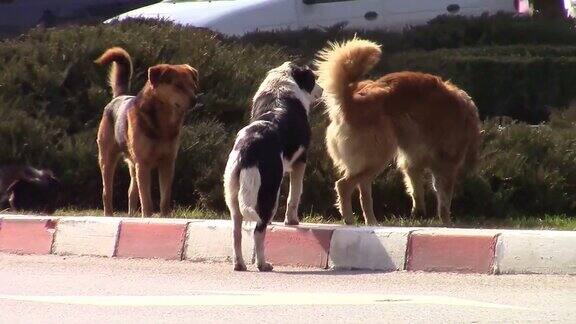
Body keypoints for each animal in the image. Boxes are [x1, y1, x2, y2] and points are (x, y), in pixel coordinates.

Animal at [95, 46, 199, 216]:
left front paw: (164, 217)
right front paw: (148, 216)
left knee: (131, 192)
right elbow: (147, 200)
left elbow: (164, 198)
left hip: (132, 164)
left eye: (193, 85)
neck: (163, 121)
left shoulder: (167, 163)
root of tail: (118, 97)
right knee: (107, 192)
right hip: (107, 159)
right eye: (178, 85)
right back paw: (109, 215)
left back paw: (131, 215)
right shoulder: (143, 164)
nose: (195, 100)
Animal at [224, 61, 324, 270]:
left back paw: (239, 264)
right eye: (313, 79)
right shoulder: (301, 161)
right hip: (269, 191)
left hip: (233, 195)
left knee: (236, 233)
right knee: (258, 231)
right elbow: (295, 195)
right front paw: (292, 221)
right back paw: (263, 264)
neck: (281, 87)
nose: (323, 90)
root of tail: (248, 148)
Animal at [316, 38, 482, 225]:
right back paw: (350, 219)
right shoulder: (445, 167)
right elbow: (444, 201)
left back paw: (371, 222)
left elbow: (416, 189)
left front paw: (418, 212)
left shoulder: (412, 162)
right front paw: (446, 223)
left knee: (364, 191)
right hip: (379, 156)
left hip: (371, 160)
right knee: (344, 185)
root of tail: (350, 102)